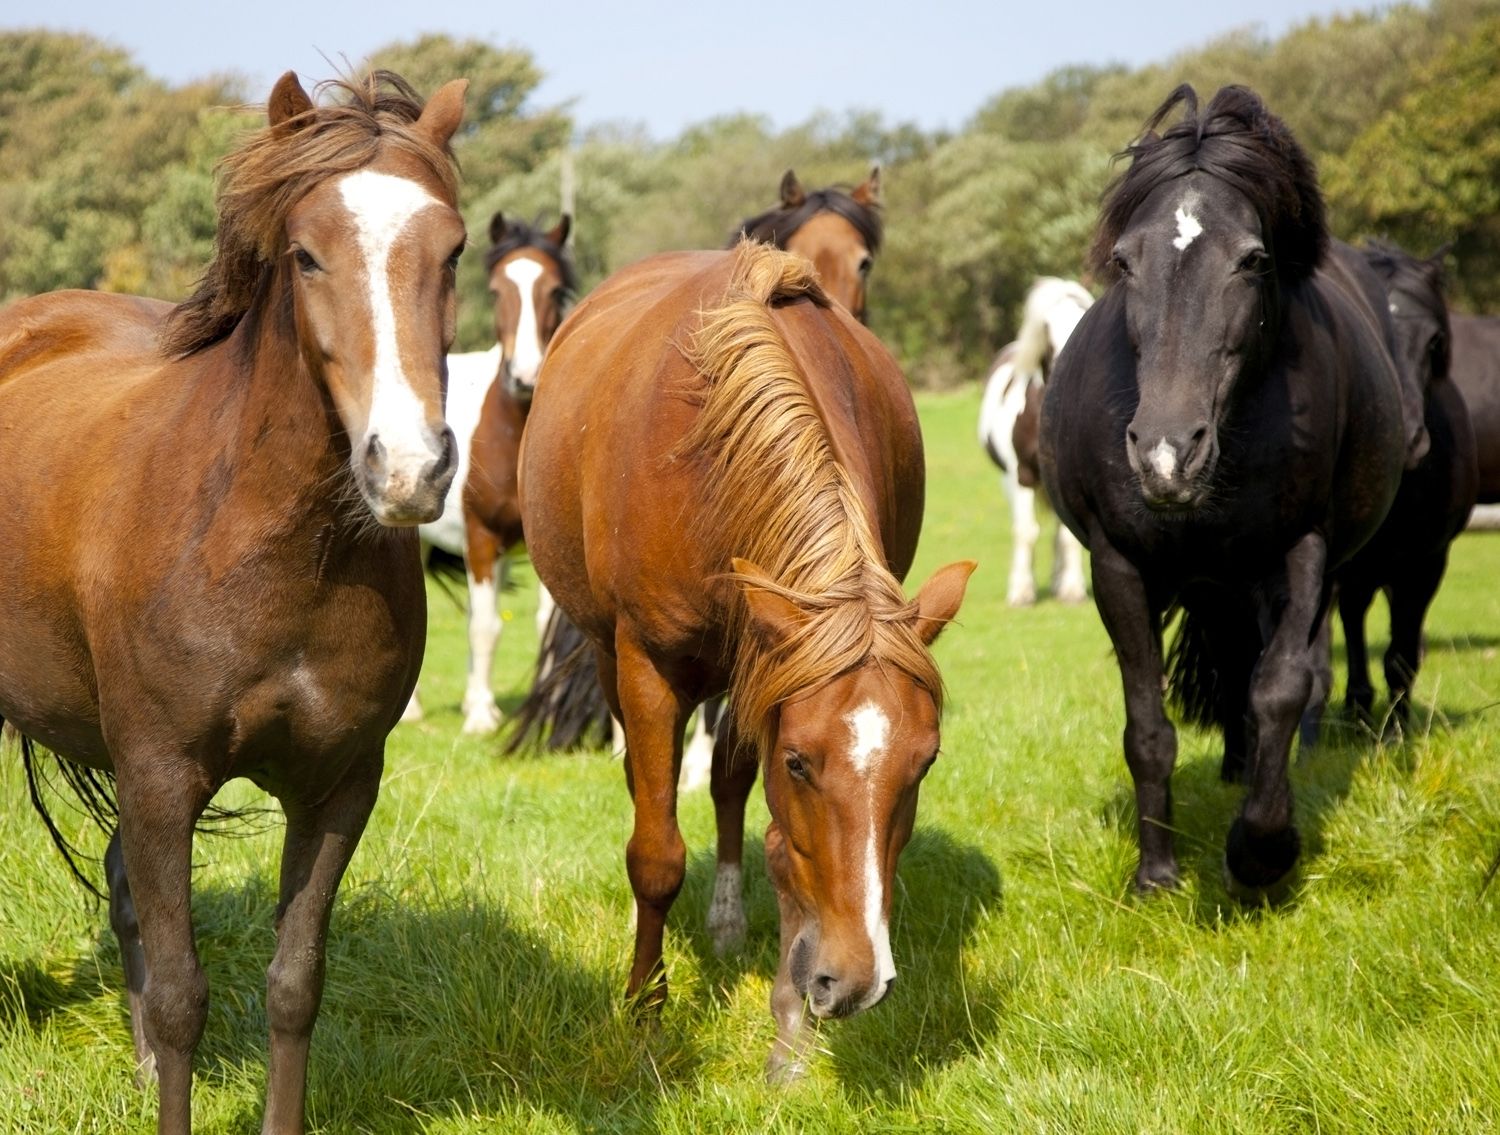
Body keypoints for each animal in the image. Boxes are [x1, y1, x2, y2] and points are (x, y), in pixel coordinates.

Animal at [0, 73, 468, 1133]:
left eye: (455, 249)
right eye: (306, 254)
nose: (409, 469)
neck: (273, 553)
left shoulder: (340, 785)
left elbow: (294, 983)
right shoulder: (162, 776)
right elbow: (184, 996)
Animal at [405, 209, 573, 734]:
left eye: (555, 290)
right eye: (498, 291)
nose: (525, 377)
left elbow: (542, 626)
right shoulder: (480, 540)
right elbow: (484, 627)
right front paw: (479, 717)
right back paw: (415, 709)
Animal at [522, 242, 978, 1073]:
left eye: (925, 762)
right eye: (799, 761)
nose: (856, 981)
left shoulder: (768, 670)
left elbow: (774, 839)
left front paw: (791, 1030)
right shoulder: (649, 666)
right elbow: (656, 852)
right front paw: (646, 1011)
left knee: (729, 784)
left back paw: (730, 923)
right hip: (611, 652)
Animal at [978, 275, 1098, 605]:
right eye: (1047, 329)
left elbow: (1067, 535)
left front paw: (1071, 589)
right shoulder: (1022, 476)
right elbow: (1026, 531)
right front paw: (1021, 591)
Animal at [1038, 83, 1410, 899]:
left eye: (1253, 259)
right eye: (1124, 260)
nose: (1168, 454)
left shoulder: (1302, 552)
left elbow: (1282, 688)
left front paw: (1261, 851)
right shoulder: (1118, 566)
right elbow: (1147, 726)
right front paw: (1156, 875)